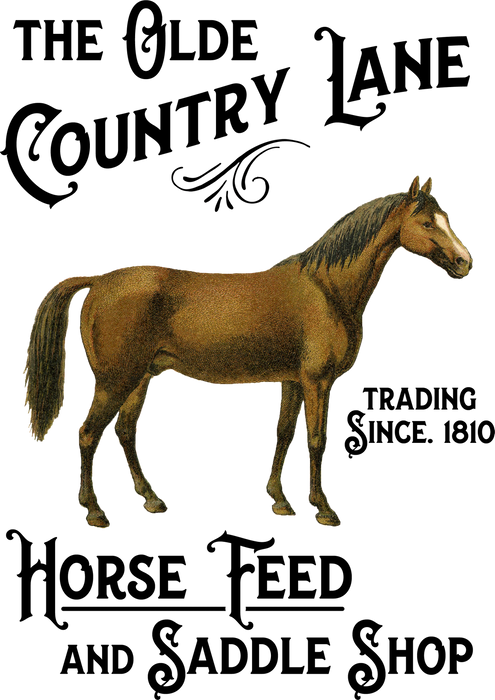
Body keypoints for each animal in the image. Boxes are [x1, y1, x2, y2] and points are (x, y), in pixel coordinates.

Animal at [21, 174, 475, 530]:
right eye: (425, 221)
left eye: (447, 218)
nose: (464, 262)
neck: (326, 289)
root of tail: (99, 280)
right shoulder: (317, 381)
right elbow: (316, 440)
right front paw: (324, 511)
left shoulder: (292, 381)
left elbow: (283, 435)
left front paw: (281, 502)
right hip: (116, 380)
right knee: (88, 433)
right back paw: (96, 513)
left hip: (140, 378)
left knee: (125, 432)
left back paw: (151, 501)